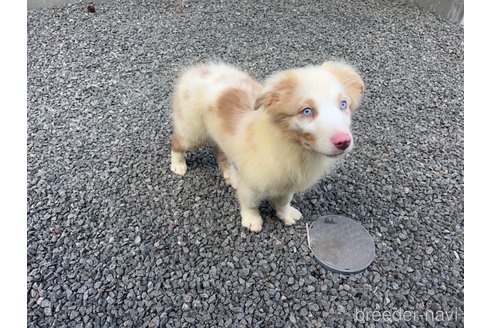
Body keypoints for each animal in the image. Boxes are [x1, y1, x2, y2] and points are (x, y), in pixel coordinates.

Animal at [171, 61, 364, 231]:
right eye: (307, 111)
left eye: (343, 104)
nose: (343, 141)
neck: (292, 146)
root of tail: (198, 70)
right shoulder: (253, 181)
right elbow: (250, 203)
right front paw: (251, 220)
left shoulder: (287, 181)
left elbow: (284, 200)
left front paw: (286, 214)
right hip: (193, 130)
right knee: (177, 142)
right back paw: (178, 165)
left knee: (220, 151)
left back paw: (232, 176)